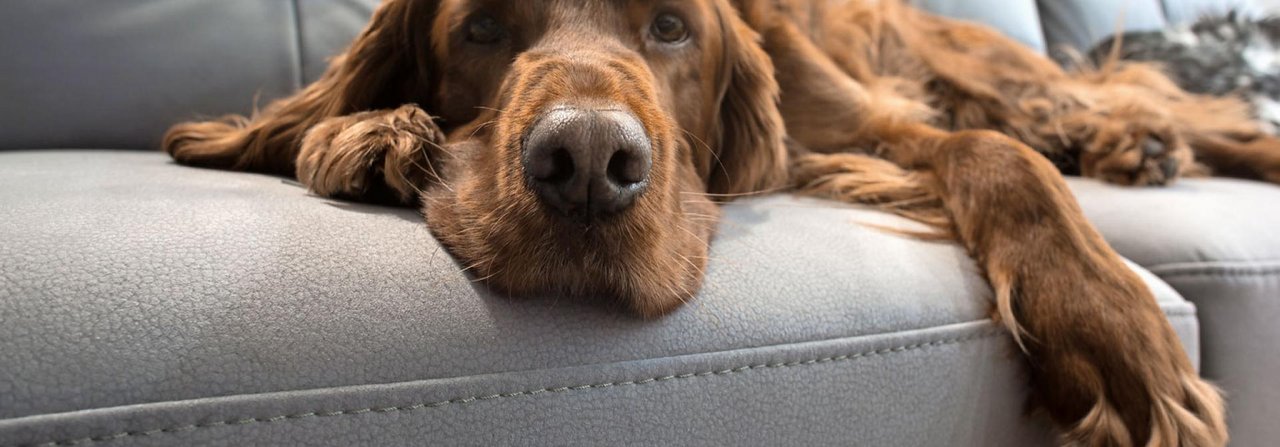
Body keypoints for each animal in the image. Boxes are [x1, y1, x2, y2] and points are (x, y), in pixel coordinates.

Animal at [165, 1, 1280, 443]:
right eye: (480, 27)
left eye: (671, 27)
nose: (585, 168)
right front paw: (371, 134)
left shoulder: (864, 125)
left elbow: (995, 158)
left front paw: (1113, 335)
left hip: (989, 72)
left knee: (1156, 114)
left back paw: (1149, 143)